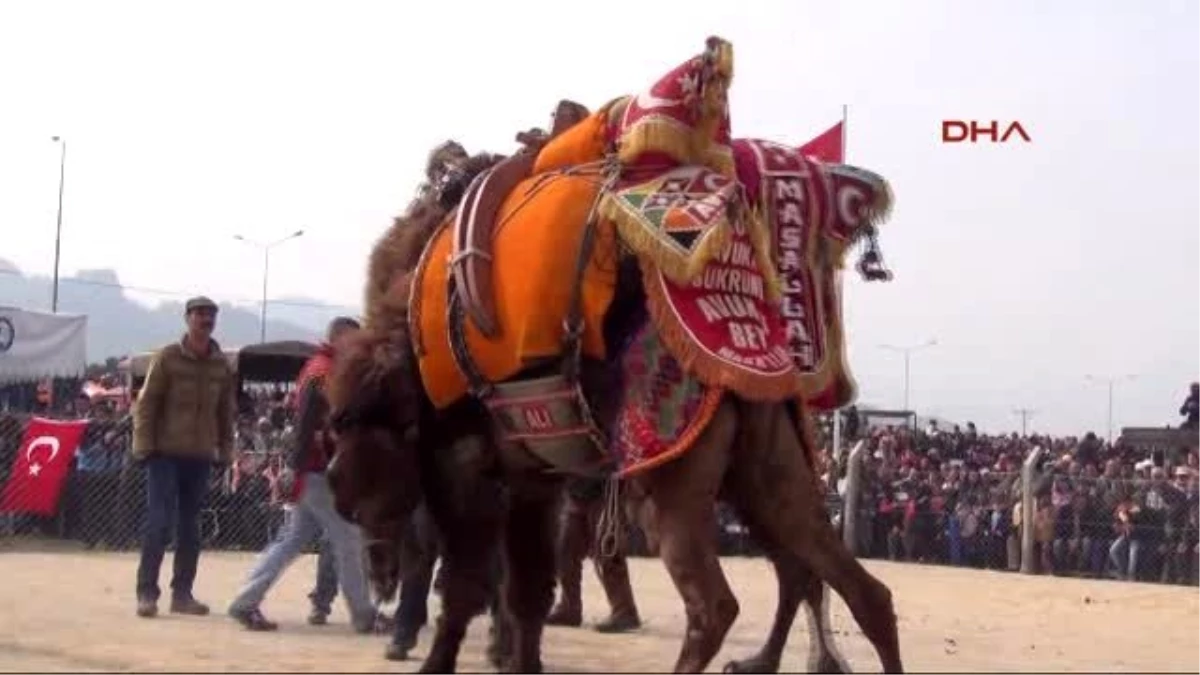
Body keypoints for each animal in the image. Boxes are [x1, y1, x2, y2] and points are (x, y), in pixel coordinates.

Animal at [326, 38, 902, 672]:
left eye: (347, 483)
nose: (378, 569)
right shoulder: (534, 471)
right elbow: (526, 589)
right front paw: (520, 659)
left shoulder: (468, 463)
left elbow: (467, 586)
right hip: (768, 457)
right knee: (850, 584)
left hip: (670, 475)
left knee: (717, 605)